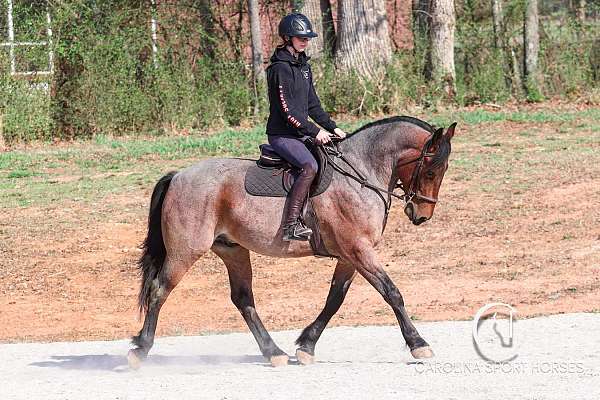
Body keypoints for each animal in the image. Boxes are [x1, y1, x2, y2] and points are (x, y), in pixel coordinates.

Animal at [126, 115, 454, 368]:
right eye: (430, 170)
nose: (421, 215)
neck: (360, 174)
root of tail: (178, 175)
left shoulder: (349, 256)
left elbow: (334, 300)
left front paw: (306, 346)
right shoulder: (358, 250)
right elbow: (392, 293)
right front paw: (419, 344)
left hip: (233, 251)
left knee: (243, 299)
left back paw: (274, 352)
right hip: (185, 251)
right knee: (160, 290)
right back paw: (140, 350)